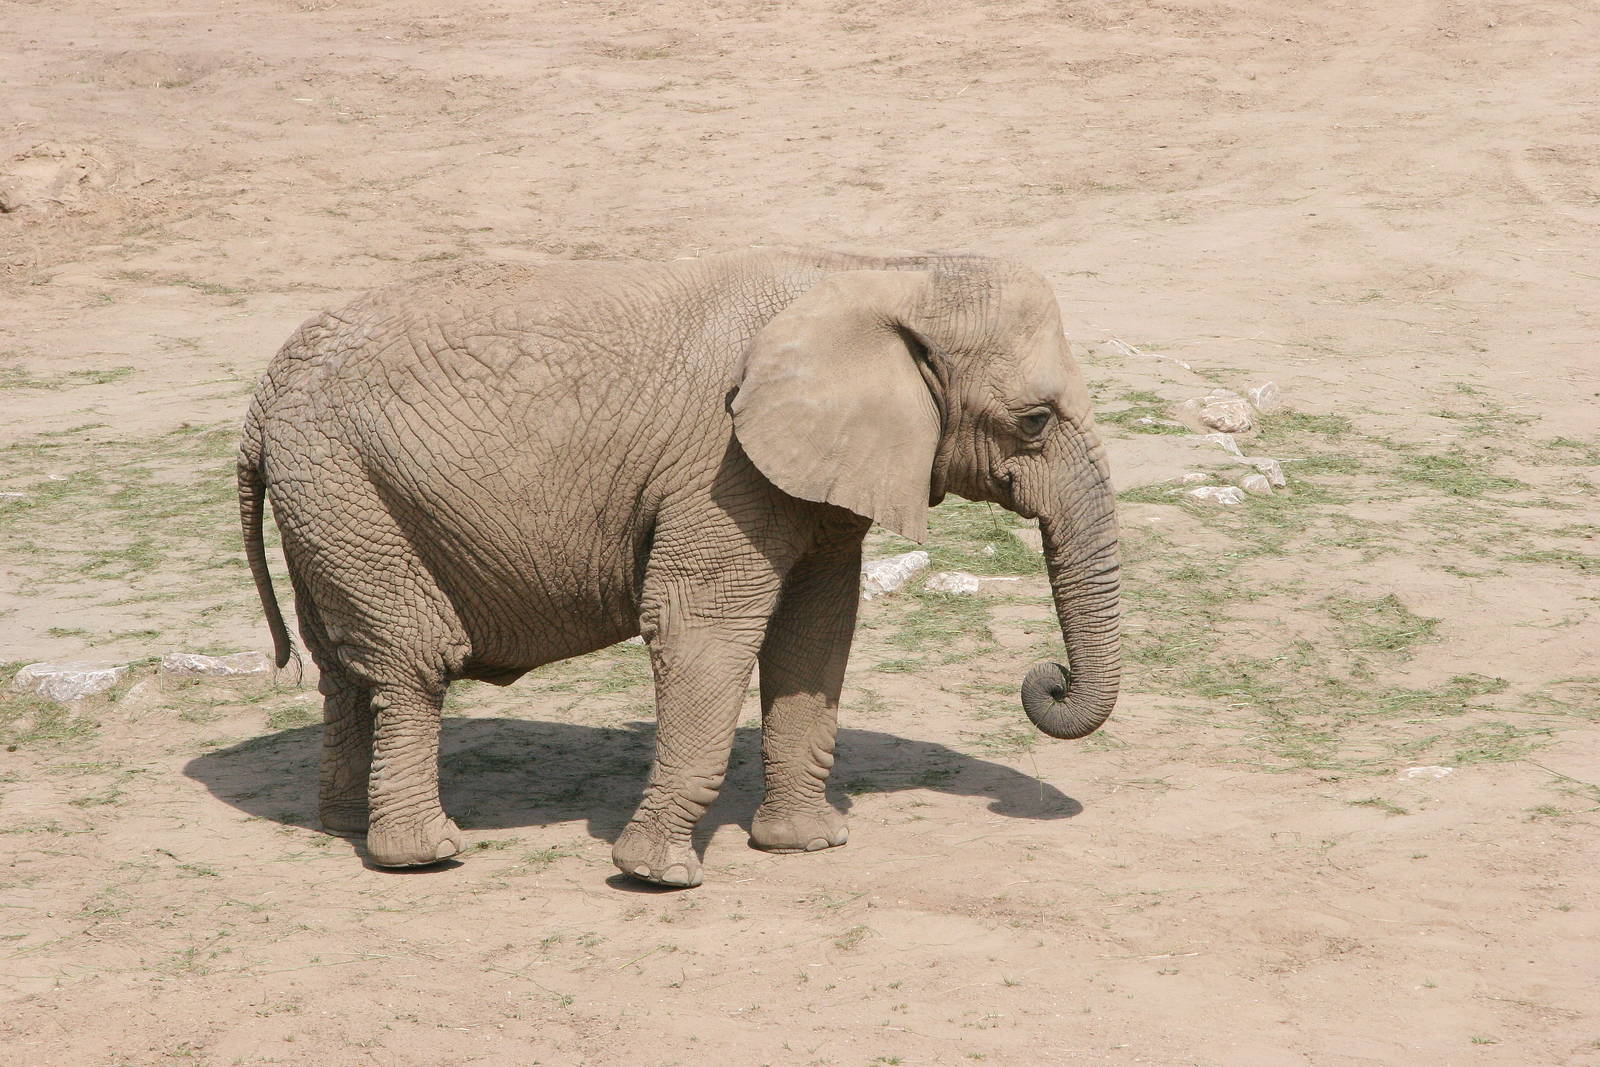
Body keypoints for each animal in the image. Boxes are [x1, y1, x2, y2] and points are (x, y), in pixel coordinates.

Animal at [237, 247, 1121, 887]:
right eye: (1035, 421)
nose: (1047, 679)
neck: (883, 279)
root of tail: (258, 407)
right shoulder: (719, 470)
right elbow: (705, 631)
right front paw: (659, 875)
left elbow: (815, 633)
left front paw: (807, 845)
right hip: (341, 481)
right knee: (413, 659)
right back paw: (425, 854)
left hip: (328, 496)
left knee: (347, 668)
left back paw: (347, 826)